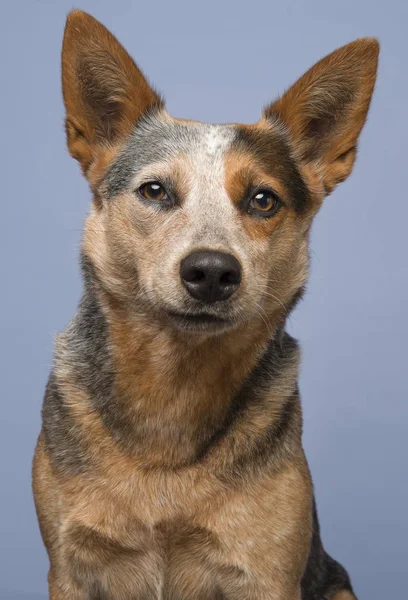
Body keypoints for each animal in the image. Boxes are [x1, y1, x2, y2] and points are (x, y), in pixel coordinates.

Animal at [32, 10, 380, 600]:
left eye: (263, 200)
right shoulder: (71, 568)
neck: (174, 392)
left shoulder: (265, 573)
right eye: (154, 191)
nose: (212, 271)